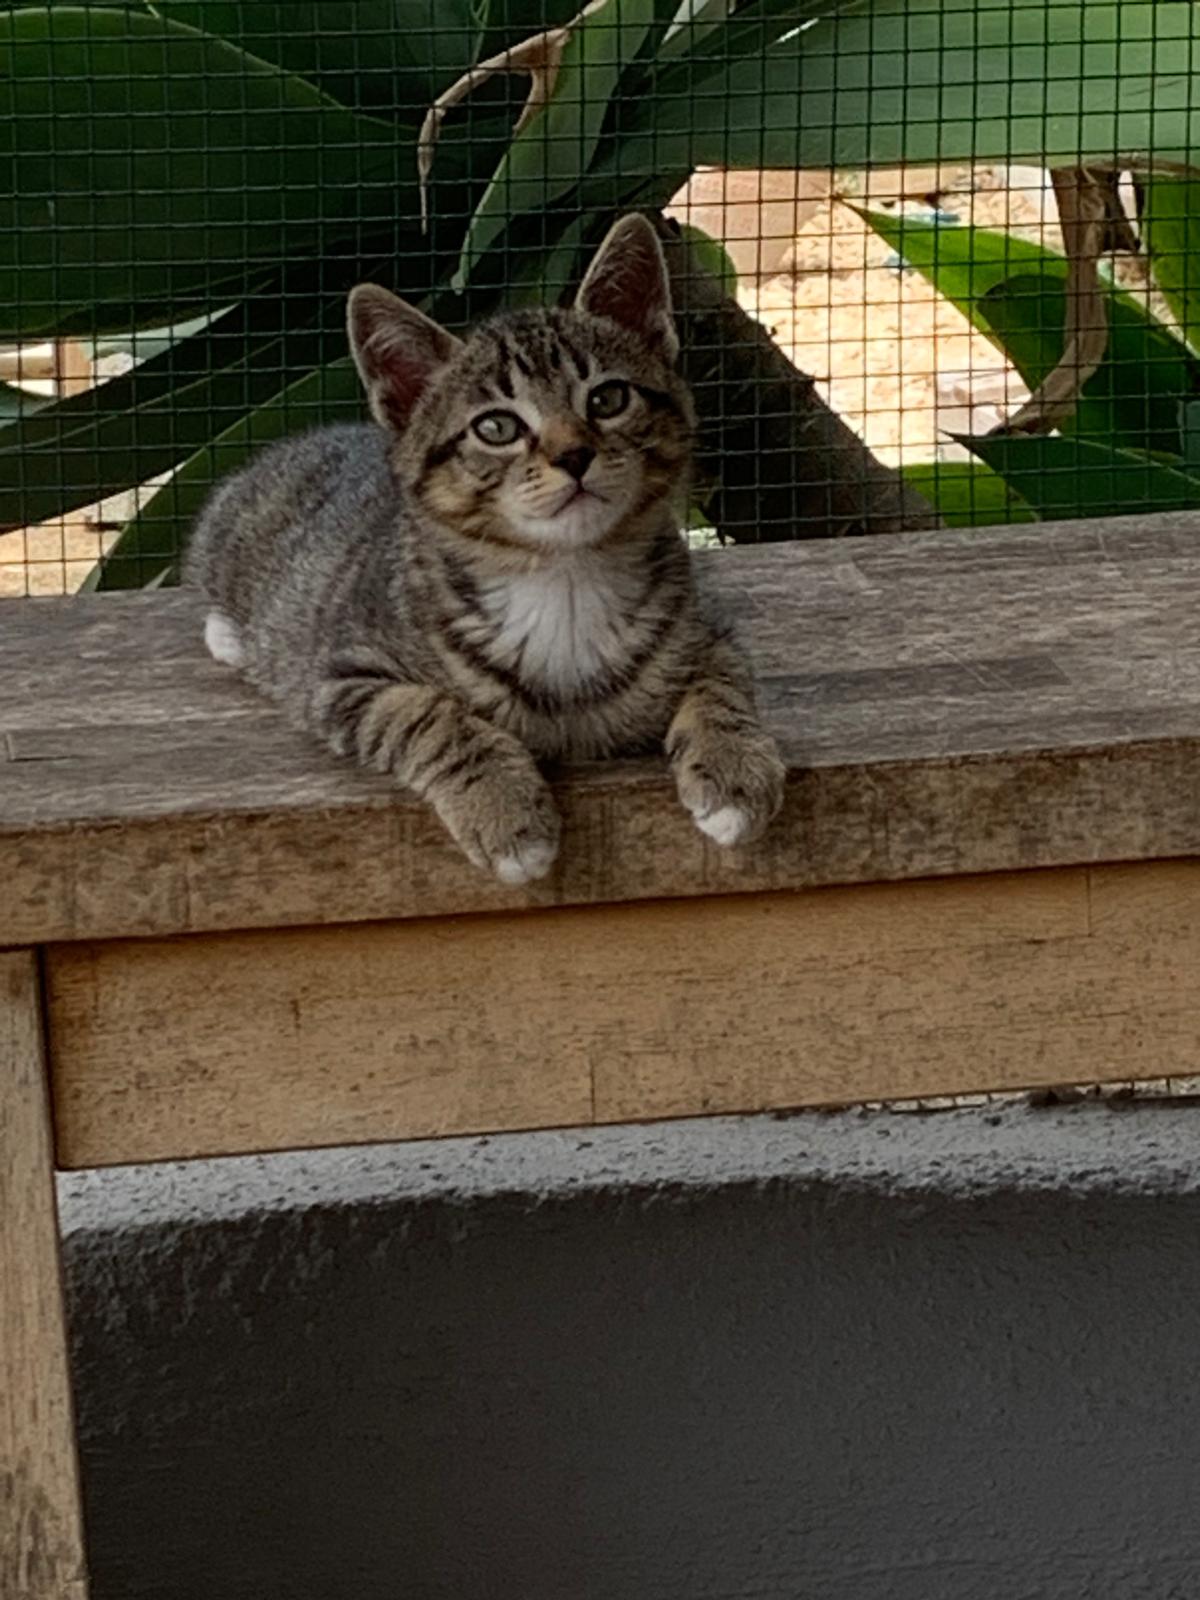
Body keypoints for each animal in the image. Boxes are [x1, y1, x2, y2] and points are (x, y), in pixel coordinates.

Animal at [185, 214, 784, 883]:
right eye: (497, 427)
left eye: (607, 399)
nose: (574, 455)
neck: (565, 579)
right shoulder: (341, 676)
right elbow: (430, 716)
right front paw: (506, 814)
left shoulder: (705, 629)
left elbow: (723, 683)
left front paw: (734, 772)